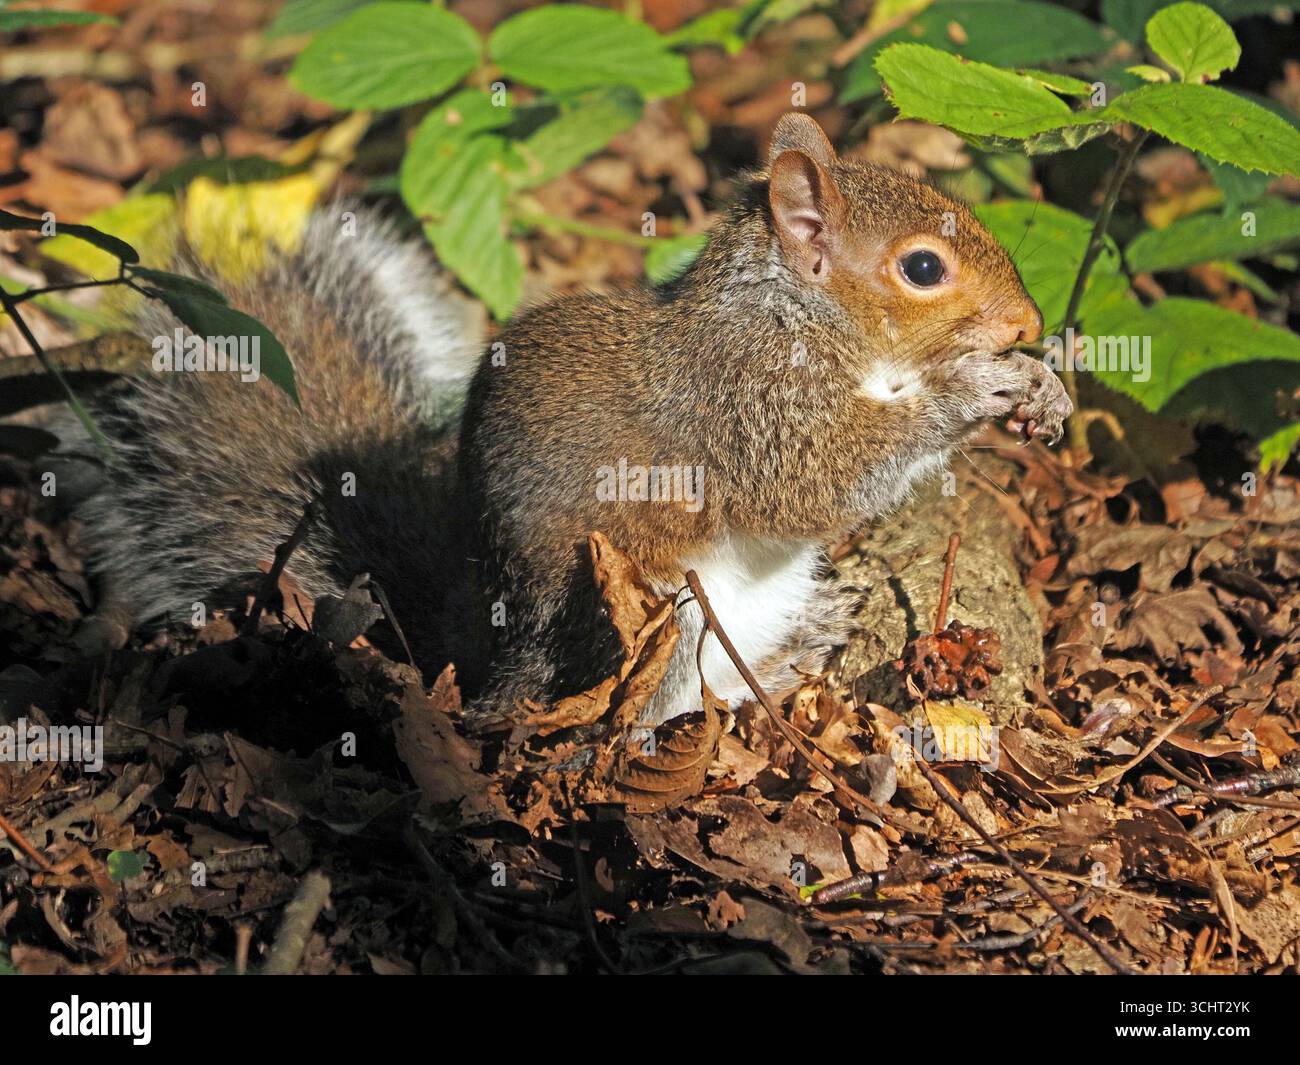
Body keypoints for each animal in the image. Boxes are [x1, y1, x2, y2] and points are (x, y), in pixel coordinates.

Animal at [49, 113, 1070, 726]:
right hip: (642, 614)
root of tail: (481, 663)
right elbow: (813, 484)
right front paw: (972, 390)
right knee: (644, 713)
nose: (1030, 323)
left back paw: (799, 645)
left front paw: (1041, 385)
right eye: (923, 268)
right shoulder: (749, 405)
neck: (798, 317)